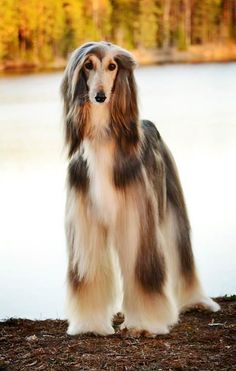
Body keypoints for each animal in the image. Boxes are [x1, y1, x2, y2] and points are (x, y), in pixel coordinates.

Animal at [60, 40, 219, 338]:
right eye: (88, 65)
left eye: (112, 66)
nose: (100, 96)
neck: (103, 138)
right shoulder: (86, 223)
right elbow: (88, 276)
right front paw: (90, 324)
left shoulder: (136, 217)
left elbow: (143, 273)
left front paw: (145, 324)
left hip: (170, 204)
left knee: (182, 253)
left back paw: (197, 301)